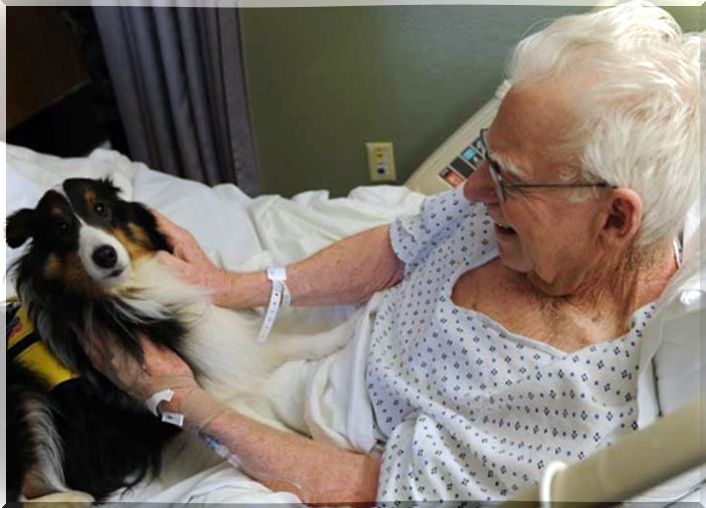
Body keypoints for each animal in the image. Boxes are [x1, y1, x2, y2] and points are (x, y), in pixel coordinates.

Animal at [4, 178, 346, 500]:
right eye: (60, 228)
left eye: (100, 208)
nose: (105, 255)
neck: (128, 292)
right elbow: (260, 426)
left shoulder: (220, 345)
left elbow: (283, 344)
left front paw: (344, 331)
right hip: (23, 395)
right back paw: (77, 497)